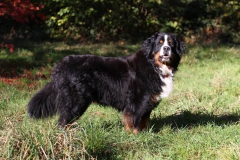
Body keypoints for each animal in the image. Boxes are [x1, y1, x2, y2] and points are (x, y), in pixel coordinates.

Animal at [28, 32, 186, 134]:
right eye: (159, 44)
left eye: (171, 43)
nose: (166, 49)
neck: (153, 65)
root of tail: (60, 65)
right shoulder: (136, 102)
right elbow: (133, 121)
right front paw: (135, 136)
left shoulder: (147, 102)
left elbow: (144, 121)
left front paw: (145, 135)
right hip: (76, 100)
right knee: (63, 121)